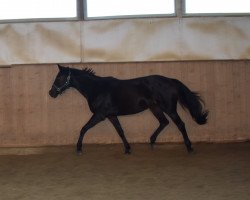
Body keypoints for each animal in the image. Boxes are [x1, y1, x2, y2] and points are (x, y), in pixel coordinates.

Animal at [48, 64, 207, 155]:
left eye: (59, 78)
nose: (51, 93)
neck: (96, 88)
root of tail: (171, 81)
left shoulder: (100, 115)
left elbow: (83, 129)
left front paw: (79, 148)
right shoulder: (111, 116)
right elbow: (120, 131)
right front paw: (127, 149)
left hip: (169, 108)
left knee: (180, 124)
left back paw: (189, 147)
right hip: (155, 108)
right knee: (164, 122)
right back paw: (151, 141)